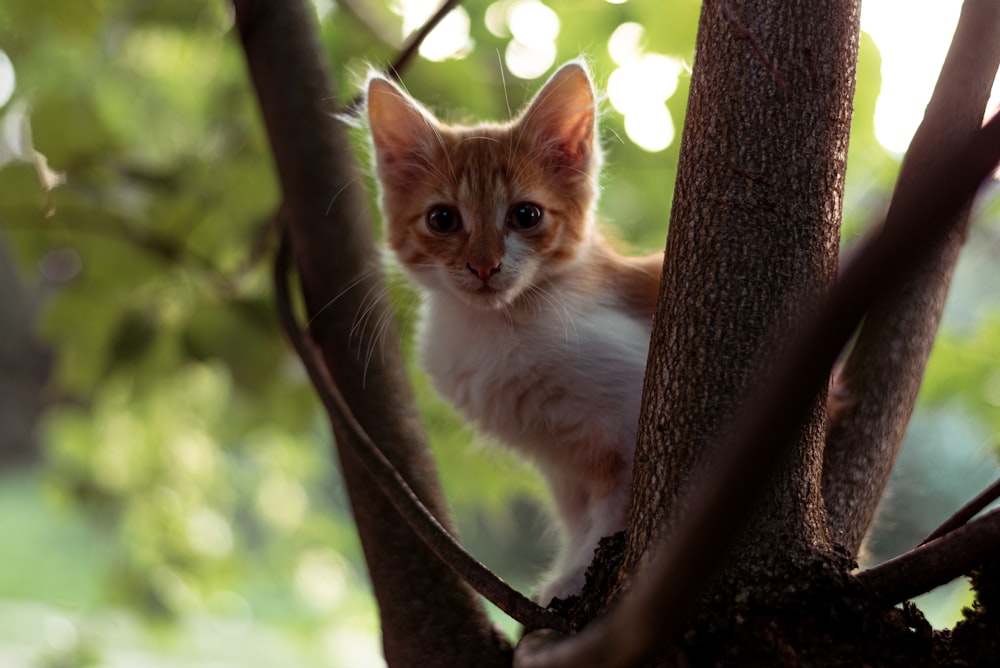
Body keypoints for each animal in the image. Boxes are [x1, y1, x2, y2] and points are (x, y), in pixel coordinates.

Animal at [368, 62, 664, 604]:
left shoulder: (630, 417)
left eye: (526, 216)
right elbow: (576, 519)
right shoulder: (561, 464)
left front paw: (575, 578)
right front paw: (570, 572)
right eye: (443, 219)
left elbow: (612, 516)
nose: (485, 266)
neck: (497, 327)